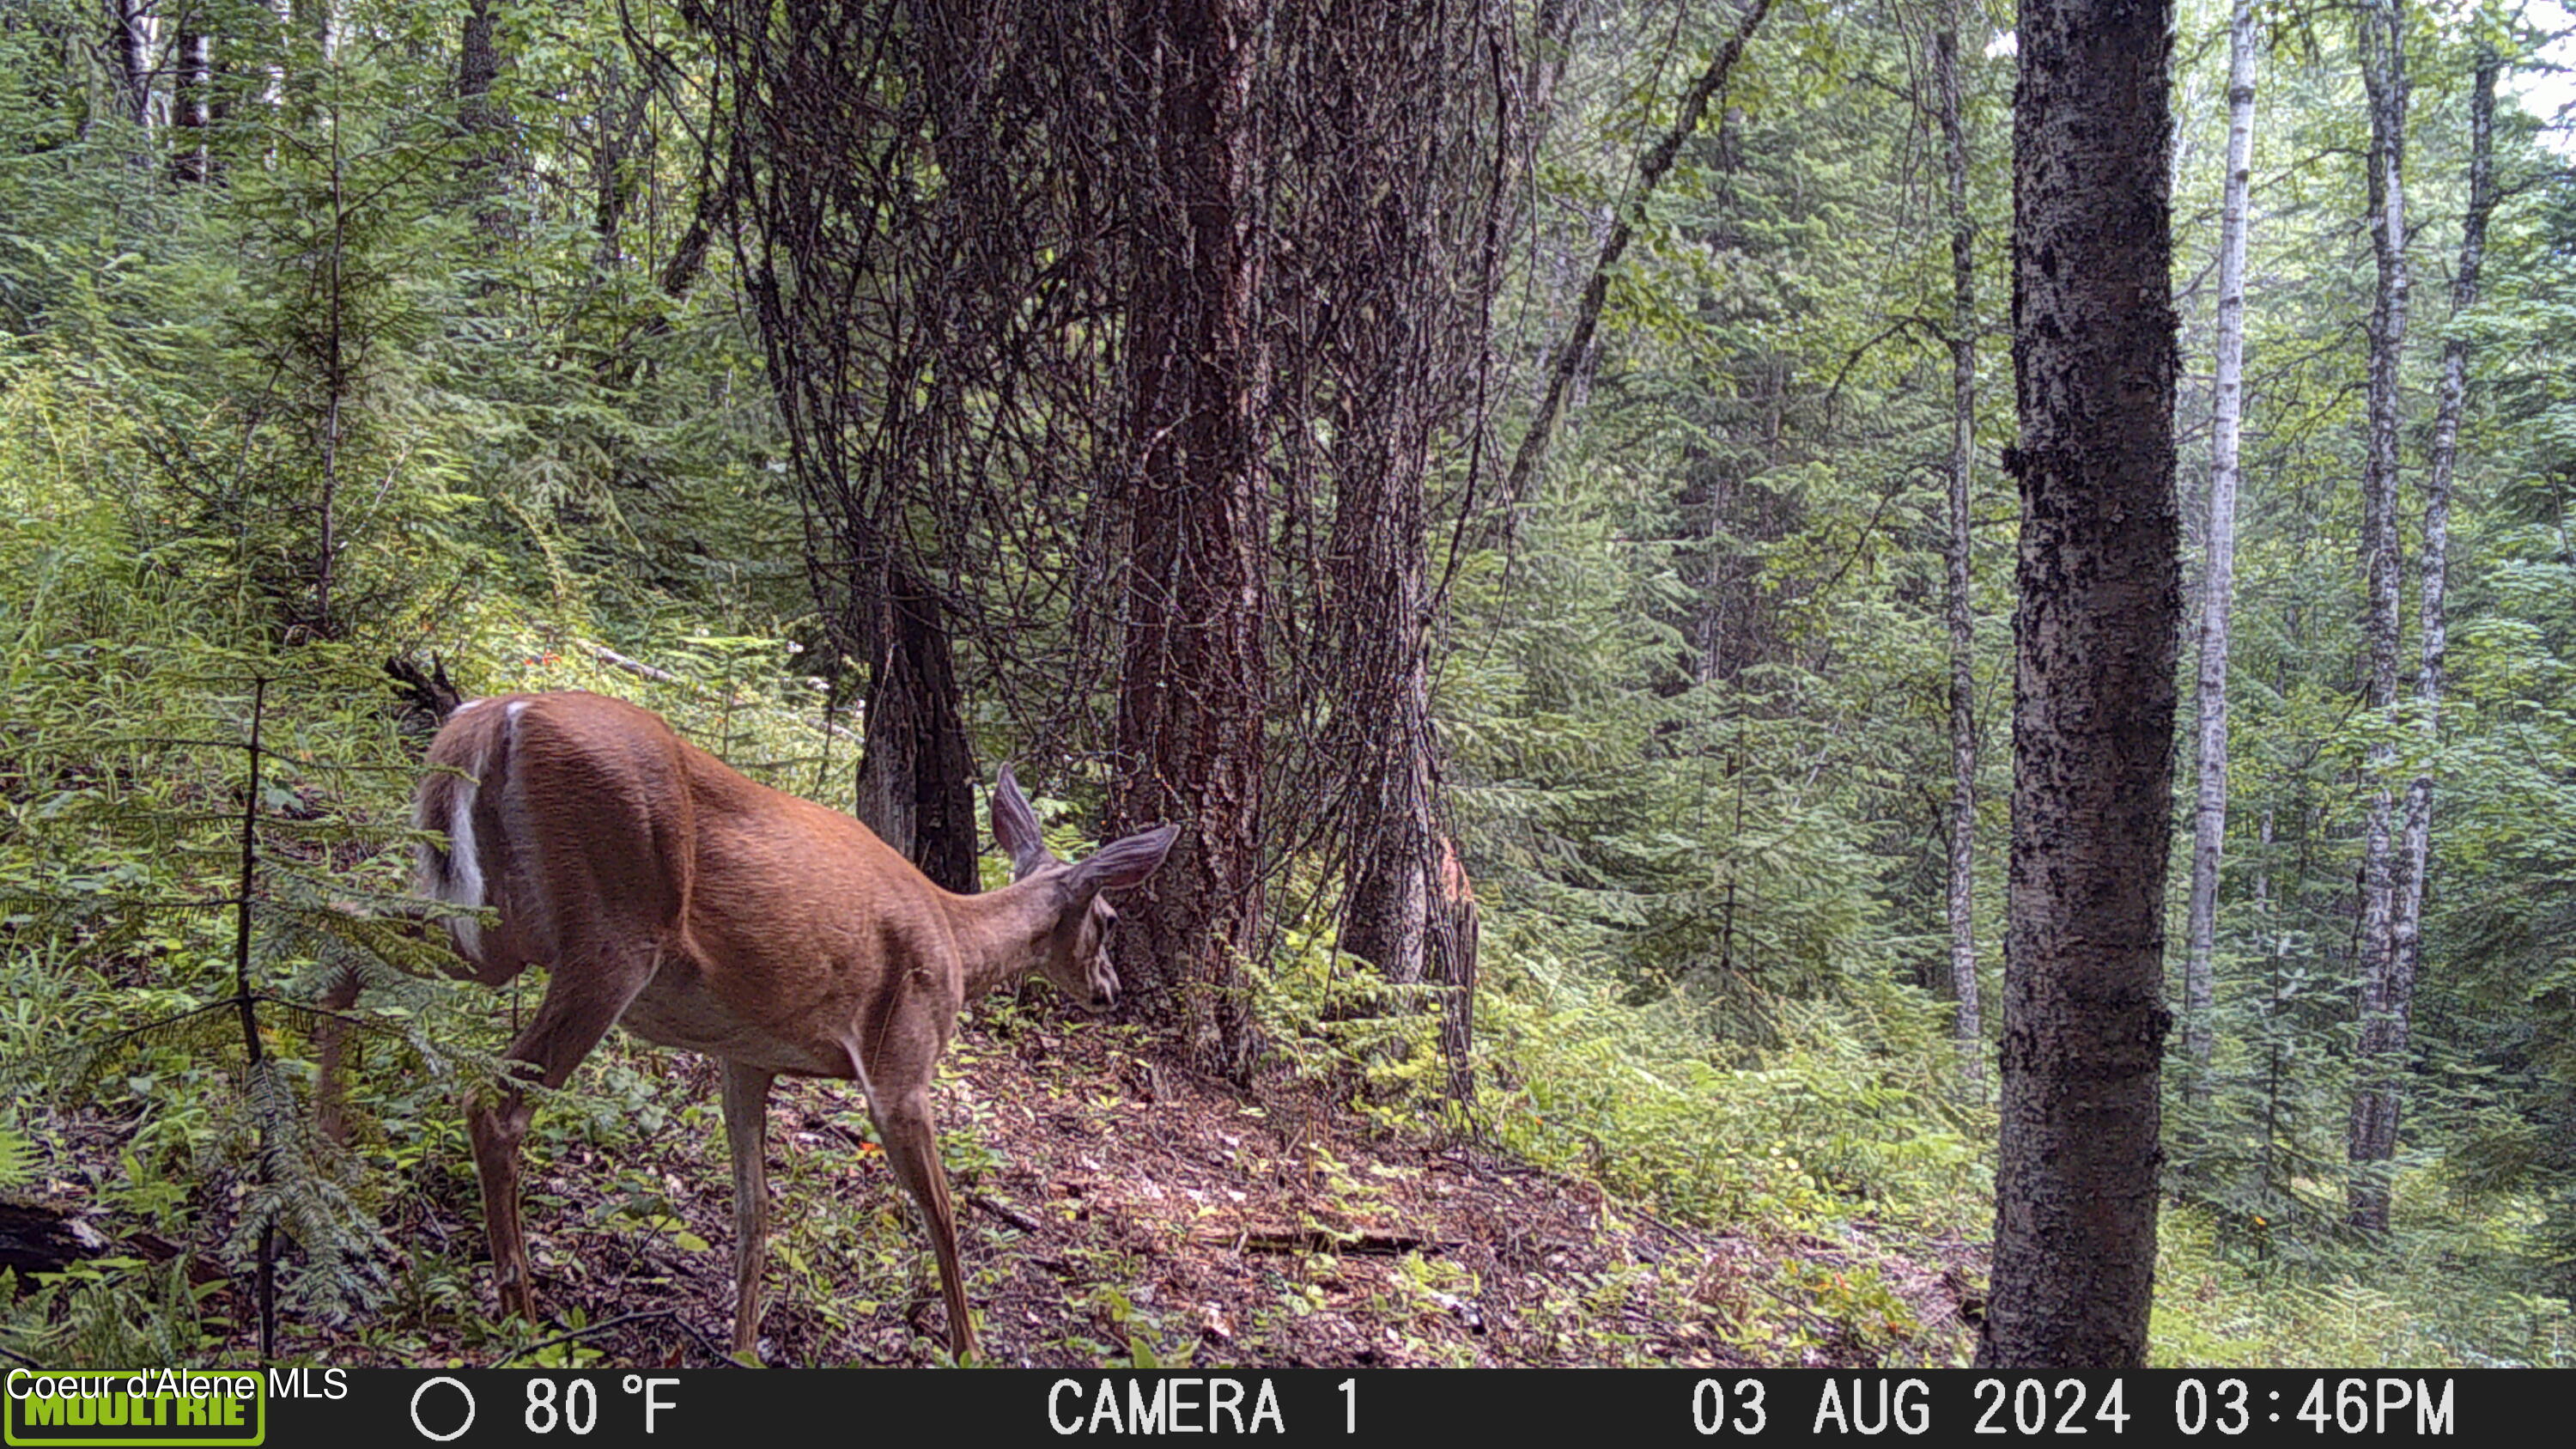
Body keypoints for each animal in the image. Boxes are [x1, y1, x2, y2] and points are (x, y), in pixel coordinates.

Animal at [392, 685, 1180, 1350]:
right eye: (1109, 920)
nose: (1110, 990)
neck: (958, 937)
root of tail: (496, 715)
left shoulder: (745, 1055)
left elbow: (754, 1215)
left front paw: (743, 1347)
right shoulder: (900, 1064)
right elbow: (945, 1217)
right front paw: (970, 1349)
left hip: (481, 926)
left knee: (365, 944)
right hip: (610, 936)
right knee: (495, 1105)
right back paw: (522, 1316)